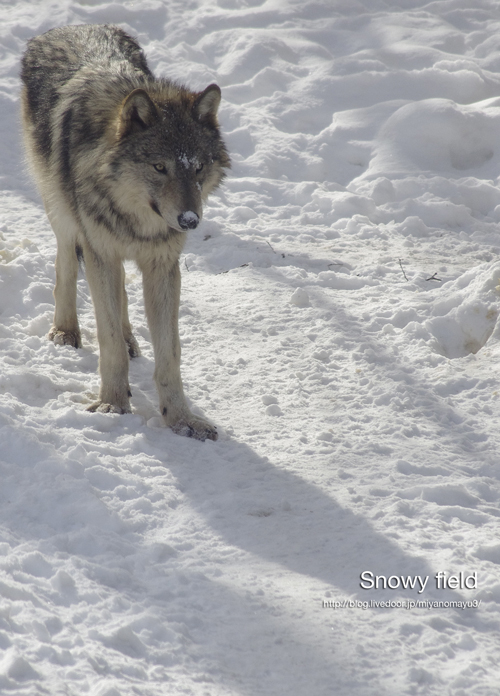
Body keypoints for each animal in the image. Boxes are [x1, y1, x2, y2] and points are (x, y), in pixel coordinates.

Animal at [20, 27, 230, 444]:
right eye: (160, 167)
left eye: (198, 167)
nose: (189, 220)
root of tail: (72, 27)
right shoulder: (100, 249)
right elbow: (109, 340)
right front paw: (112, 405)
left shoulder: (162, 264)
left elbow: (169, 353)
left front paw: (181, 419)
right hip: (62, 212)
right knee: (66, 263)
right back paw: (65, 330)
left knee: (120, 296)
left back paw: (132, 339)